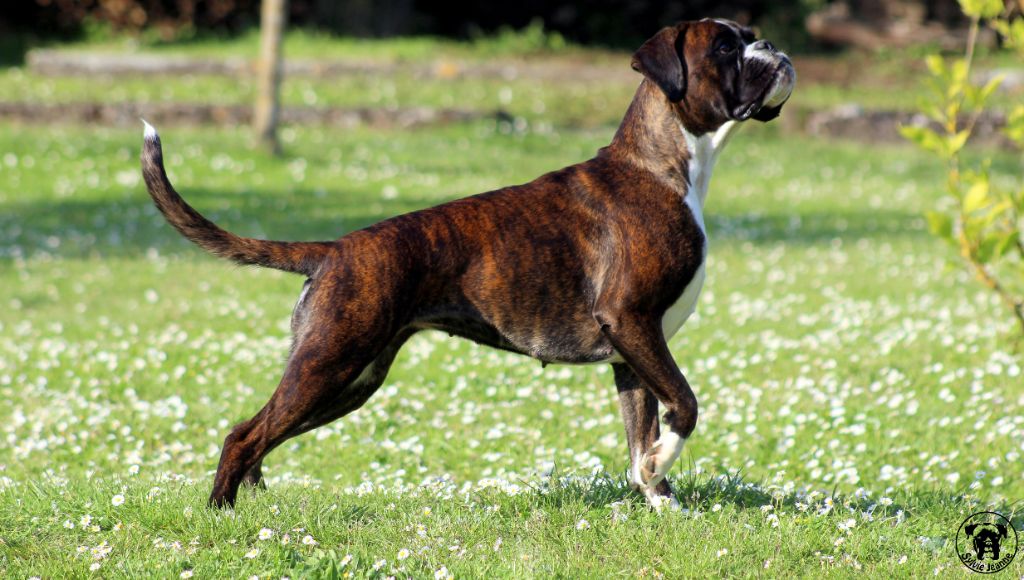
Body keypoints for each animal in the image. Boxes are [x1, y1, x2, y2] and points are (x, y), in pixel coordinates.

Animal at [142, 18, 798, 508]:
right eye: (724, 47)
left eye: (749, 35)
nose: (770, 46)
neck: (662, 165)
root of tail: (335, 249)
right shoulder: (634, 323)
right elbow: (683, 406)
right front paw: (662, 467)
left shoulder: (632, 356)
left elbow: (641, 434)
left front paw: (660, 501)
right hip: (329, 364)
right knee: (243, 436)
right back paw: (220, 516)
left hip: (350, 379)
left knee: (259, 436)